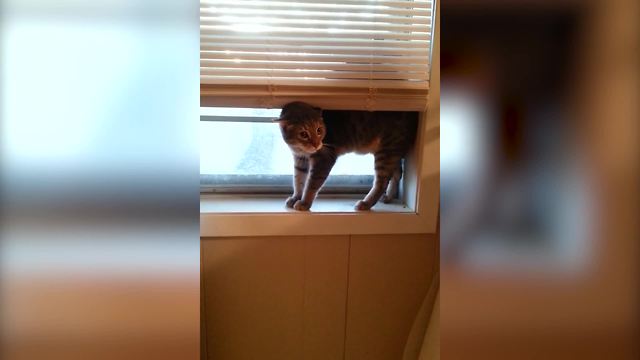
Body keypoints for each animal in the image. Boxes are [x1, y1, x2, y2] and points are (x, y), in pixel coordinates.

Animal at [276, 100, 420, 211]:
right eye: (303, 134)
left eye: (319, 130)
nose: (317, 145)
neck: (300, 149)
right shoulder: (300, 159)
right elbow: (298, 180)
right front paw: (296, 197)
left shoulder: (324, 158)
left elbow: (311, 184)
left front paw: (304, 202)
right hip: (391, 152)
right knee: (397, 173)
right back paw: (388, 197)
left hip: (386, 152)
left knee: (382, 182)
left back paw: (366, 203)